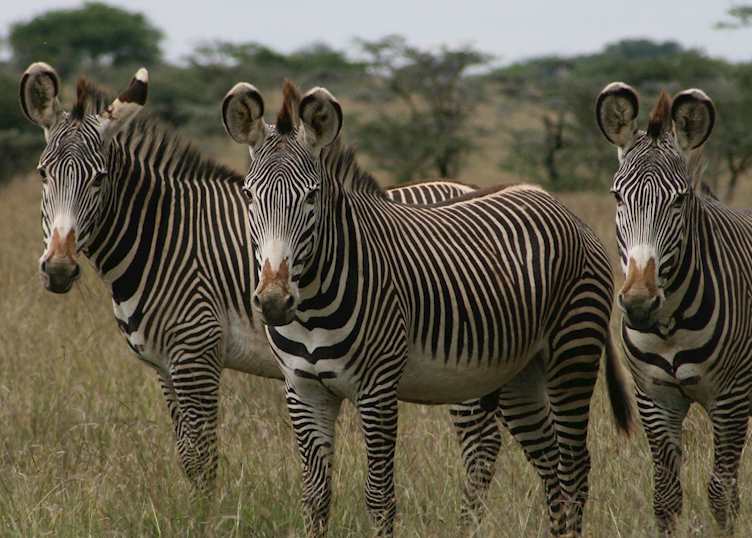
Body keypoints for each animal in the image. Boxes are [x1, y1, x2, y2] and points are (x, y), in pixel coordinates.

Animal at [18, 62, 517, 522]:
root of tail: (471, 186)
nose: (58, 270)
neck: (162, 237)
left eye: (99, 179)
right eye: (42, 175)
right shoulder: (164, 365)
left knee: (481, 445)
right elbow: (185, 456)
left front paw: (206, 521)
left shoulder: (196, 354)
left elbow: (202, 460)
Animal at [221, 80, 634, 537]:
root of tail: (558, 204)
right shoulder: (303, 390)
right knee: (549, 462)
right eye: (248, 195)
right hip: (522, 370)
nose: (274, 302)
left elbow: (379, 498)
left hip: (573, 352)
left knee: (574, 466)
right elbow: (314, 499)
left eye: (311, 197)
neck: (311, 306)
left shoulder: (377, 389)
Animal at [596, 82, 752, 536]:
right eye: (617, 196)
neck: (669, 328)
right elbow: (665, 496)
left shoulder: (730, 397)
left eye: (680, 200)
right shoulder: (654, 397)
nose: (638, 303)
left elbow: (721, 494)